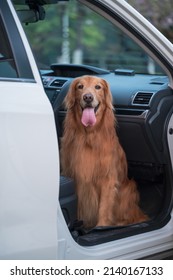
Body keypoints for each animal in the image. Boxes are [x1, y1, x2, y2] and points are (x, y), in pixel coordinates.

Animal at [60, 75, 148, 229]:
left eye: (98, 87)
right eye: (80, 86)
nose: (88, 97)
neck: (88, 136)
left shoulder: (107, 178)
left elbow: (104, 207)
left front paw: (102, 227)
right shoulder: (73, 174)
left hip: (129, 188)